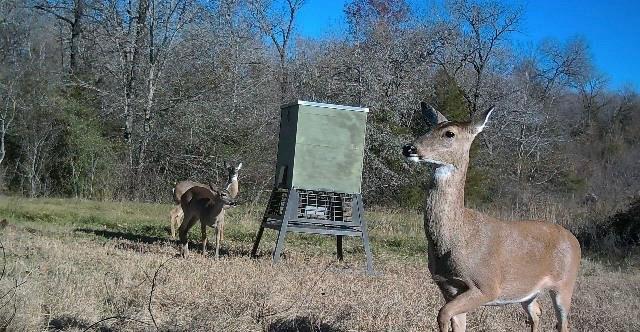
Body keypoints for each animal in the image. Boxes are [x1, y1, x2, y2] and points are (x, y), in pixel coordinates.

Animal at [402, 102, 584, 330]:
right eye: (429, 128)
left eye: (449, 133)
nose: (409, 148)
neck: (457, 236)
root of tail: (574, 239)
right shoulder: (448, 287)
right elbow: (453, 320)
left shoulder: (487, 285)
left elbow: (442, 314)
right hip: (527, 292)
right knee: (536, 312)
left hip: (566, 283)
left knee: (563, 322)